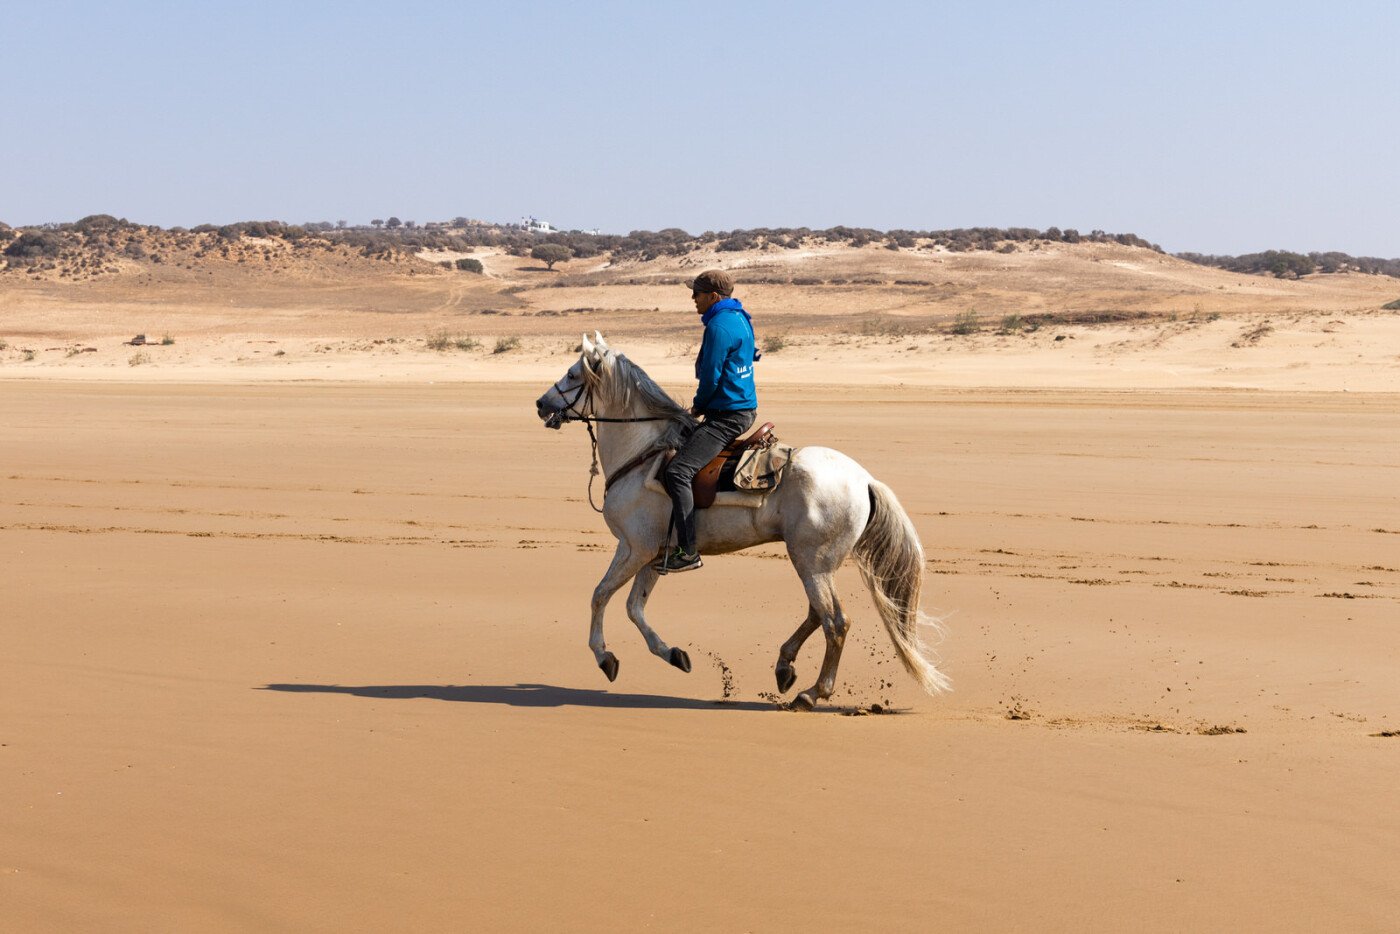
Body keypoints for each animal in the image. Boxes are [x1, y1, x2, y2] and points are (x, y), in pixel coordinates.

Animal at [534, 336, 952, 708]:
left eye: (572, 374)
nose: (540, 403)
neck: (642, 453)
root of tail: (864, 478)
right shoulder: (656, 554)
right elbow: (634, 607)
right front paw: (673, 654)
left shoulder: (634, 548)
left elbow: (601, 595)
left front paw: (604, 656)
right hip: (814, 563)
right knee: (817, 614)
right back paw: (785, 667)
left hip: (812, 562)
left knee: (836, 622)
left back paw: (811, 693)